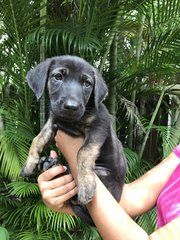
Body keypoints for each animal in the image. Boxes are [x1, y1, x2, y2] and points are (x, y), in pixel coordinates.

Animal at [20, 54, 126, 225]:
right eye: (58, 77)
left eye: (87, 83)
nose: (71, 106)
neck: (70, 121)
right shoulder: (53, 121)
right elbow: (37, 139)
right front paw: (29, 164)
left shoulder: (99, 125)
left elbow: (83, 151)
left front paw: (86, 186)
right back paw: (49, 164)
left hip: (101, 173)